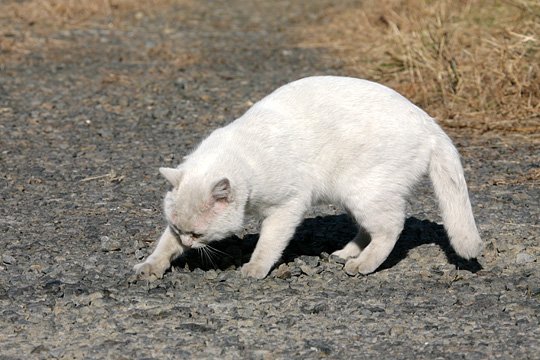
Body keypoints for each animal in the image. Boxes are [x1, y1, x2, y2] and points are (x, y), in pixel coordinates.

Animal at [133, 75, 484, 278]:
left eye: (198, 233)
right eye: (181, 230)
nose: (188, 243)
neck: (240, 153)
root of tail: (430, 122)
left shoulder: (288, 205)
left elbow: (270, 242)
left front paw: (255, 268)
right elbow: (163, 245)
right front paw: (151, 265)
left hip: (365, 191)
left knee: (392, 227)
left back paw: (363, 265)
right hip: (354, 197)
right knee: (370, 228)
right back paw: (347, 253)